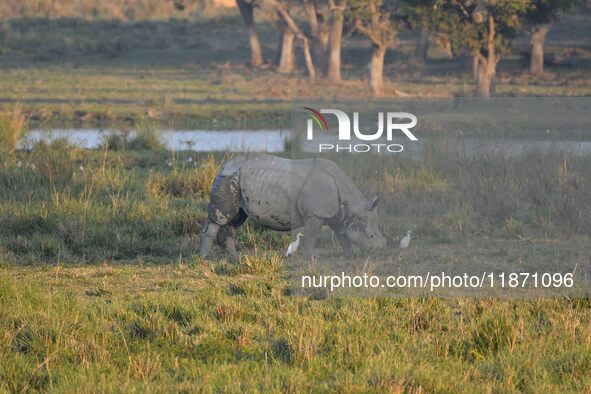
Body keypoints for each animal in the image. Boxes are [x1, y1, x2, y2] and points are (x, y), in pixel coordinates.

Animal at [199, 154, 388, 258]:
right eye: (370, 235)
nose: (379, 250)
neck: (351, 208)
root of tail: (224, 165)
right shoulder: (315, 214)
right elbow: (311, 236)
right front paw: (311, 257)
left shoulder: (336, 215)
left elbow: (342, 236)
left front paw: (347, 254)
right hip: (228, 178)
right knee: (220, 218)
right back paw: (204, 257)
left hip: (237, 179)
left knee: (235, 219)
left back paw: (234, 257)